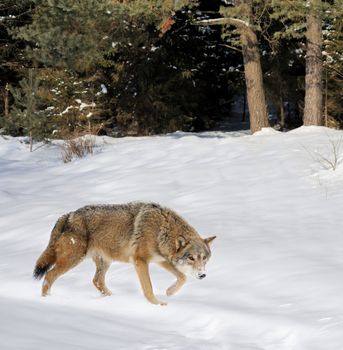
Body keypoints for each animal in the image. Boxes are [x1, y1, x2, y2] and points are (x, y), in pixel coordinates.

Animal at [33, 201, 215, 304]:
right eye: (191, 258)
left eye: (204, 259)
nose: (202, 275)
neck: (161, 230)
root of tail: (67, 215)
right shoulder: (140, 261)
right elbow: (148, 288)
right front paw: (157, 305)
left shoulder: (161, 260)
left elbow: (182, 277)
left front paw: (170, 292)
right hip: (73, 260)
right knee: (49, 275)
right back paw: (46, 300)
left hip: (104, 262)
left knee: (97, 281)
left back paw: (112, 298)